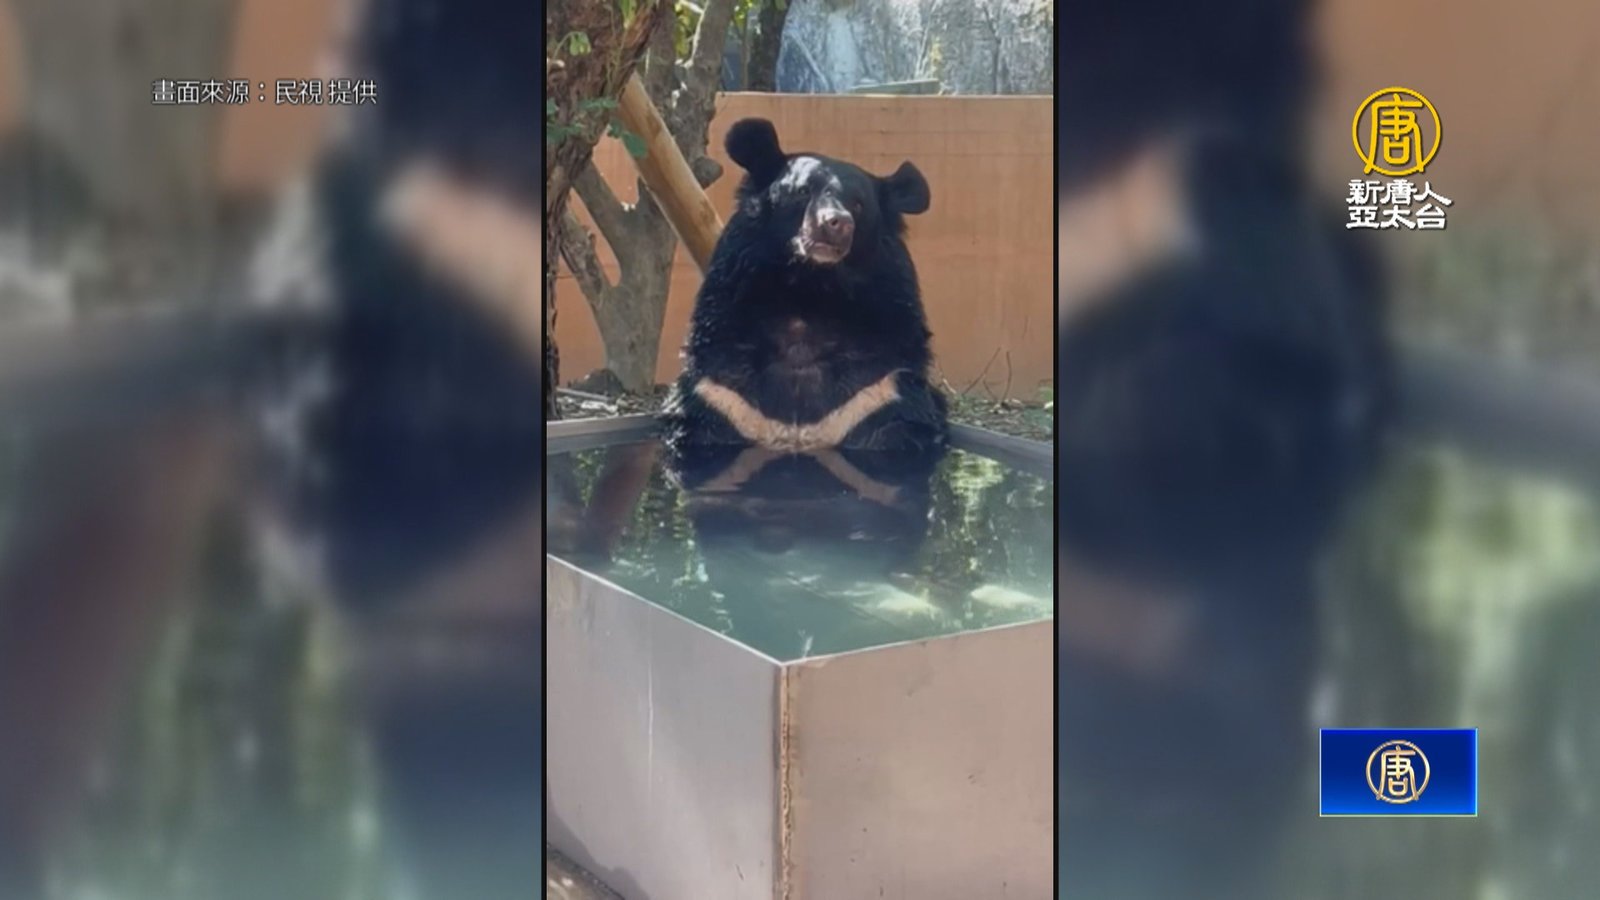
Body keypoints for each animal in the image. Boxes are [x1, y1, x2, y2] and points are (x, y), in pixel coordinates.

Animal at [660, 118, 949, 458]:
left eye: (858, 204)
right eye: (803, 191)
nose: (836, 223)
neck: (809, 287)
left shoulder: (882, 390)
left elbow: (898, 429)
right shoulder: (722, 395)